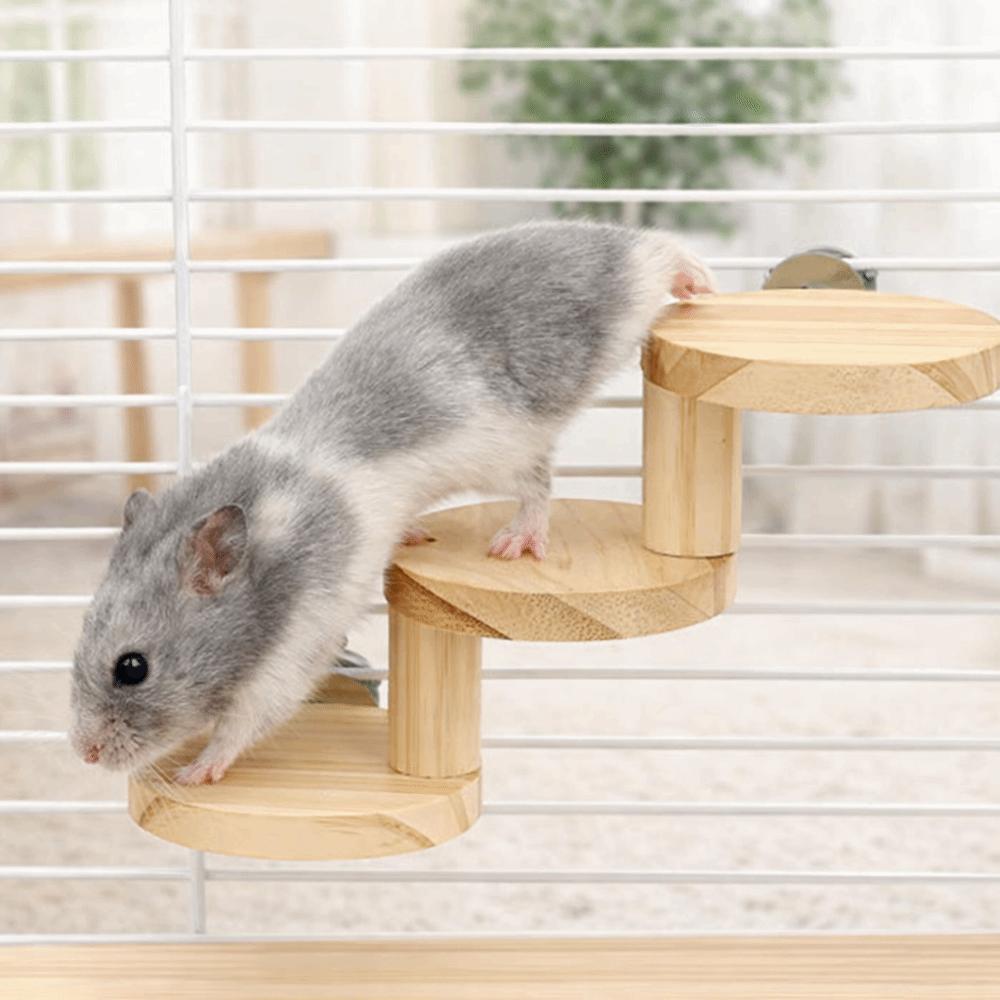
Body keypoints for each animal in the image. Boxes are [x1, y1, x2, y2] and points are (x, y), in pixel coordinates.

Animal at [70, 221, 715, 784]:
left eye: (132, 668)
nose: (82, 754)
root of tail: (604, 247)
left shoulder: (298, 645)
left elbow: (247, 722)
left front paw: (197, 771)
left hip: (512, 442)